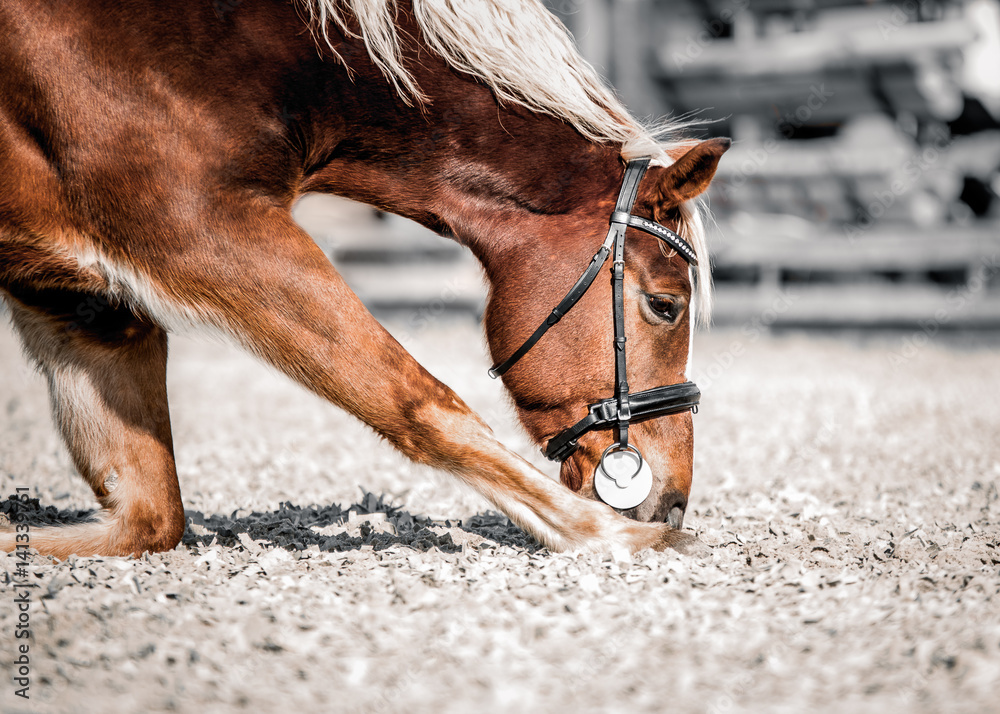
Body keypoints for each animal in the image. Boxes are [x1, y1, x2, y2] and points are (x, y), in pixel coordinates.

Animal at [0, 0, 729, 559]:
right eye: (665, 305)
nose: (670, 504)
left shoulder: (83, 303)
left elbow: (149, 517)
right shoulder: (205, 233)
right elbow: (416, 400)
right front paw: (614, 536)